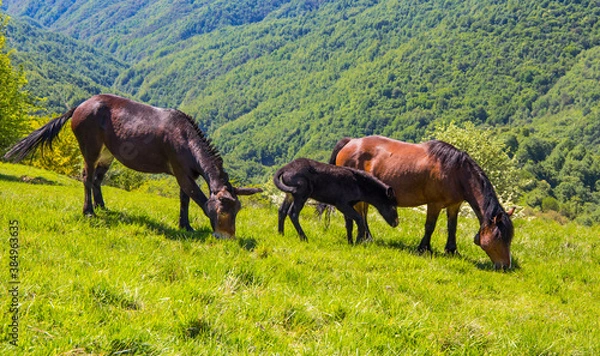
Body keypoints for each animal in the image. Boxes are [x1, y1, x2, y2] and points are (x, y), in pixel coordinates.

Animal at [2, 94, 260, 238]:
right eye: (224, 211)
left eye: (237, 211)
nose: (228, 238)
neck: (186, 139)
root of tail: (80, 105)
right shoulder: (180, 171)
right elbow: (196, 197)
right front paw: (188, 226)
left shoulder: (188, 174)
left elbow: (185, 199)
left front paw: (185, 226)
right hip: (90, 146)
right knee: (86, 176)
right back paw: (89, 211)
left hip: (108, 153)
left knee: (97, 179)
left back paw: (102, 207)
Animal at [328, 136, 516, 270]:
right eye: (498, 236)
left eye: (510, 237)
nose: (505, 266)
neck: (456, 172)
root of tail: (350, 142)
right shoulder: (434, 204)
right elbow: (430, 227)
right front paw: (424, 248)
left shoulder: (454, 205)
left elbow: (452, 227)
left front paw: (452, 250)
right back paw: (366, 238)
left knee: (363, 213)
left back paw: (368, 237)